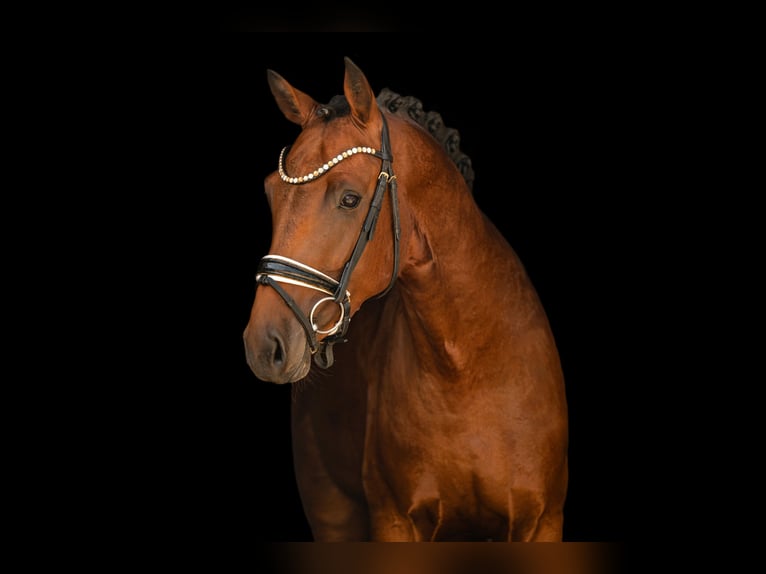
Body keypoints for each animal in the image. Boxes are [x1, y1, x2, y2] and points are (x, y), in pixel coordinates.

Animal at [243, 57, 569, 542]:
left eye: (349, 198)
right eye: (270, 193)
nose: (264, 346)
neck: (470, 366)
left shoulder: (542, 522)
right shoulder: (394, 521)